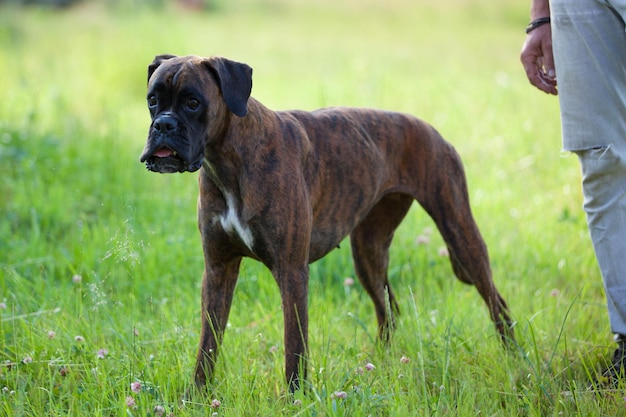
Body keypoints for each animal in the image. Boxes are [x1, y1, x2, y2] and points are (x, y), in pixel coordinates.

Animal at [139, 53, 510, 392]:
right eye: (152, 100)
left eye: (193, 102)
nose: (163, 125)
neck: (228, 159)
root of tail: (432, 130)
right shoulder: (218, 269)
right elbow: (208, 342)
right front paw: (196, 397)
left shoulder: (291, 272)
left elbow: (294, 344)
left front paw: (295, 397)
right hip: (369, 254)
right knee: (389, 311)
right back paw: (381, 363)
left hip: (461, 234)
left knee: (497, 304)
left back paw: (514, 359)